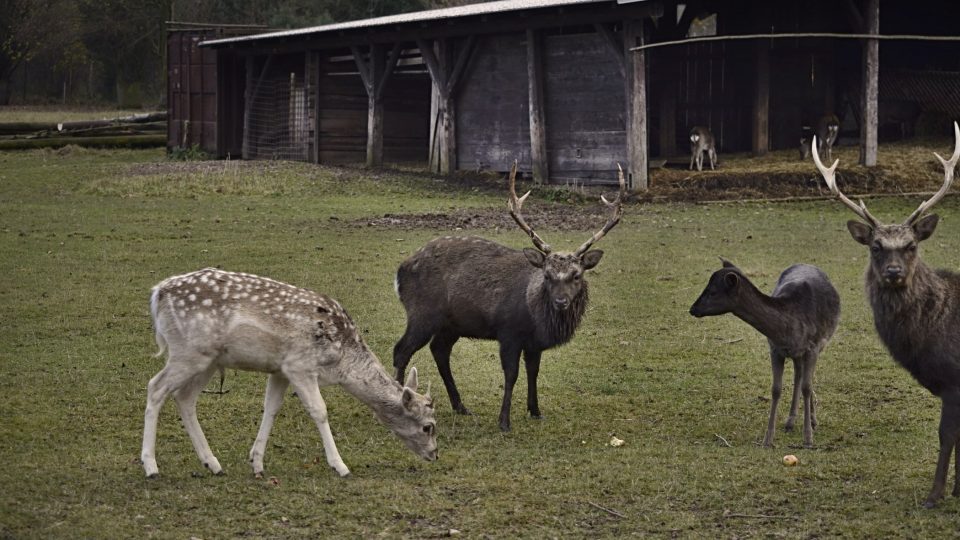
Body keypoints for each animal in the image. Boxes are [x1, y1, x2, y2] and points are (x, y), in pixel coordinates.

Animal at [140, 268, 438, 476]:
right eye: (428, 427)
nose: (435, 454)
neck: (341, 362)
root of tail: (157, 293)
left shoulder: (280, 370)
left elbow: (271, 408)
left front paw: (257, 463)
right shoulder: (300, 365)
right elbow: (320, 411)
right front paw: (340, 466)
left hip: (208, 360)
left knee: (184, 397)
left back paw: (212, 463)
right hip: (188, 352)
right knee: (155, 387)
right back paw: (151, 466)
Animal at [392, 162, 628, 432]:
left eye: (576, 275)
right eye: (547, 275)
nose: (561, 301)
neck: (535, 318)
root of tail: (399, 272)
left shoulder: (534, 343)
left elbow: (533, 372)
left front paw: (535, 411)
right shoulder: (509, 332)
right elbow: (511, 375)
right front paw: (504, 421)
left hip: (451, 324)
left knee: (439, 350)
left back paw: (460, 406)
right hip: (422, 313)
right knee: (401, 350)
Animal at [688, 258, 840, 448]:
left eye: (713, 291)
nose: (693, 309)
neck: (789, 329)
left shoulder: (813, 347)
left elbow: (807, 387)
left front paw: (808, 438)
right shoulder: (775, 349)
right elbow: (776, 389)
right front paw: (767, 439)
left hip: (818, 345)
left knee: (806, 378)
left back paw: (812, 421)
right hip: (796, 354)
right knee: (798, 374)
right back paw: (790, 421)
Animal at [812, 121, 960, 506]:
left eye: (911, 245)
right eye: (876, 246)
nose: (894, 272)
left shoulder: (954, 378)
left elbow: (946, 435)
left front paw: (934, 496)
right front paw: (956, 490)